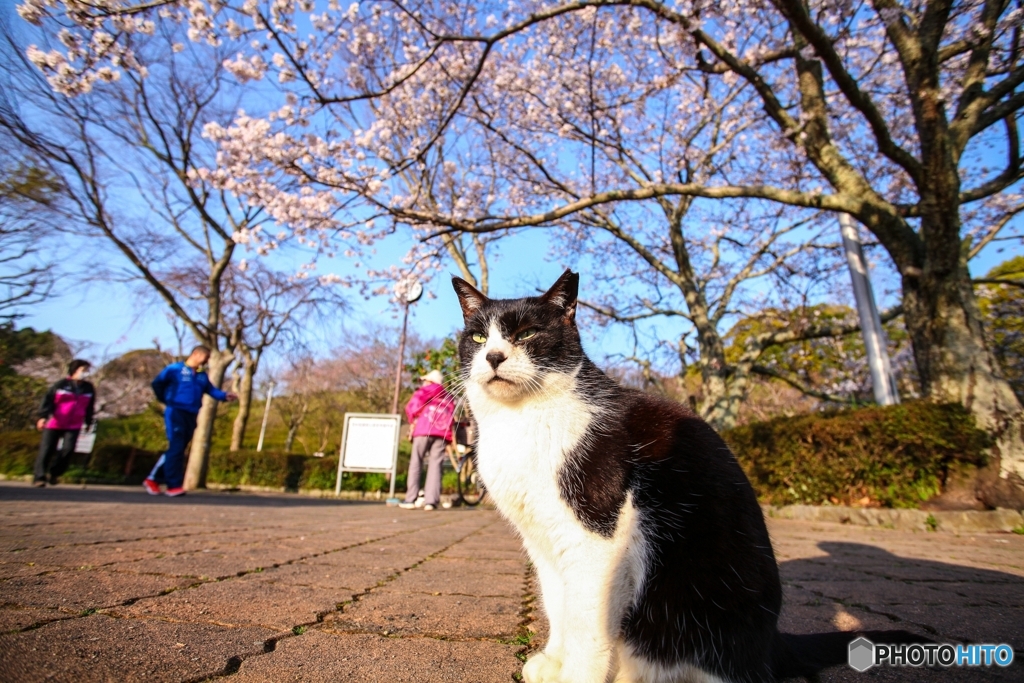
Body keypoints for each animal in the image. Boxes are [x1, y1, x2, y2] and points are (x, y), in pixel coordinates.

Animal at [454, 270, 913, 683]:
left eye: (528, 333)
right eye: (477, 338)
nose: (494, 357)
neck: (520, 422)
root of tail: (770, 645)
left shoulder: (596, 535)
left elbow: (587, 619)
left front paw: (576, 675)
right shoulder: (541, 537)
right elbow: (557, 603)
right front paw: (554, 661)